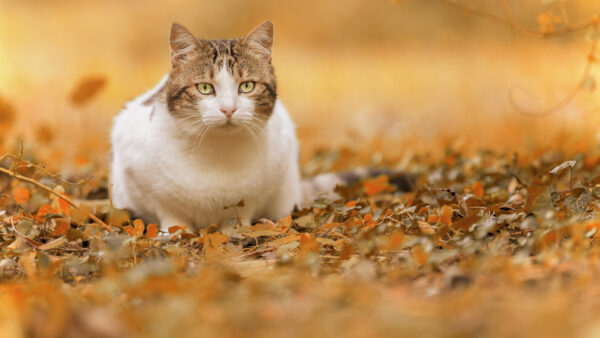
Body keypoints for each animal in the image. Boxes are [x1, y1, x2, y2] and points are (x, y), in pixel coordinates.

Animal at [110, 21, 302, 231]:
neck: (218, 149)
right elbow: (171, 213)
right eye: (204, 87)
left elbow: (240, 213)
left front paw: (236, 231)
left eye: (247, 86)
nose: (228, 109)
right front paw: (173, 232)